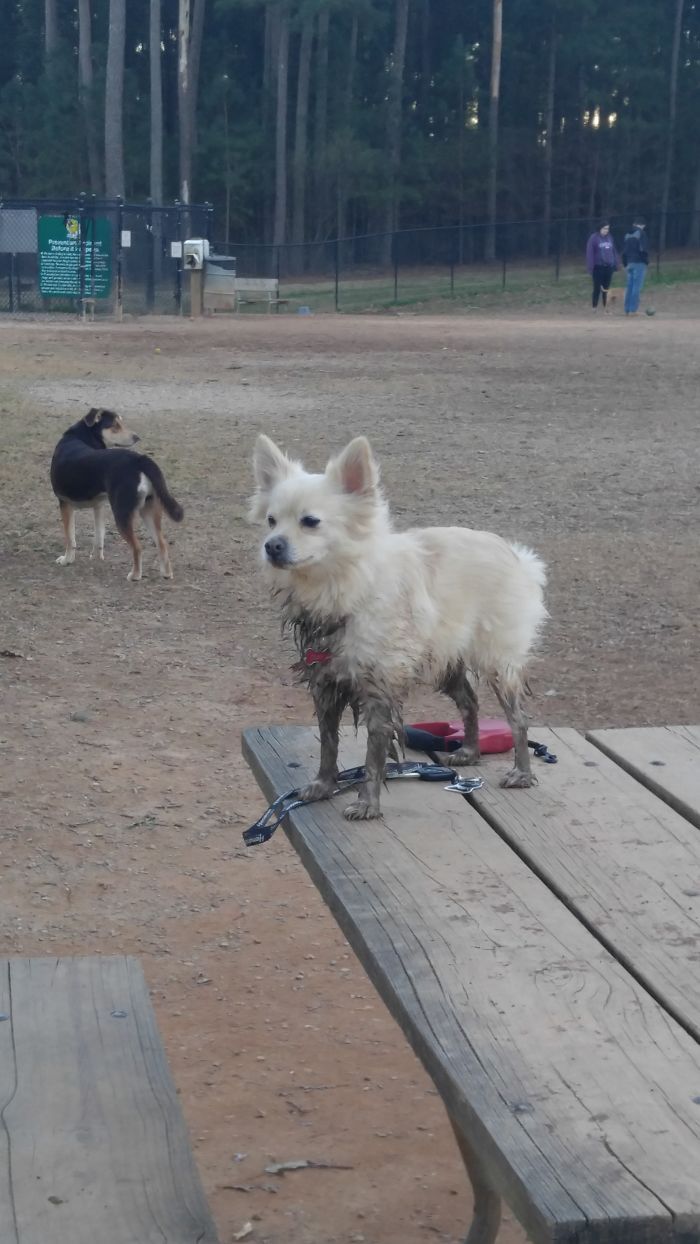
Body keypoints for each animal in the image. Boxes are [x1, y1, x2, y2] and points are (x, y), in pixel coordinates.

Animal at [50, 410, 185, 579]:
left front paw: (67, 560)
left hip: (122, 513)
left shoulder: (65, 503)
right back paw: (166, 573)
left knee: (137, 547)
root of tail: (139, 459)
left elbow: (70, 537)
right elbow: (99, 536)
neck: (79, 436)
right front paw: (97, 558)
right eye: (115, 425)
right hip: (149, 509)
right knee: (162, 543)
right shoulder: (99, 505)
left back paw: (135, 575)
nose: (136, 437)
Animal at [251, 432, 547, 821]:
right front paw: (324, 785)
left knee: (519, 719)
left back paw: (522, 773)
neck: (343, 587)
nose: (271, 546)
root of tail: (516, 557)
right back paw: (470, 750)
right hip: (446, 660)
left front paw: (367, 802)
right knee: (470, 702)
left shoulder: (380, 687)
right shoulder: (326, 683)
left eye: (310, 521)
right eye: (271, 521)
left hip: (498, 664)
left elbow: (373, 754)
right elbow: (328, 742)